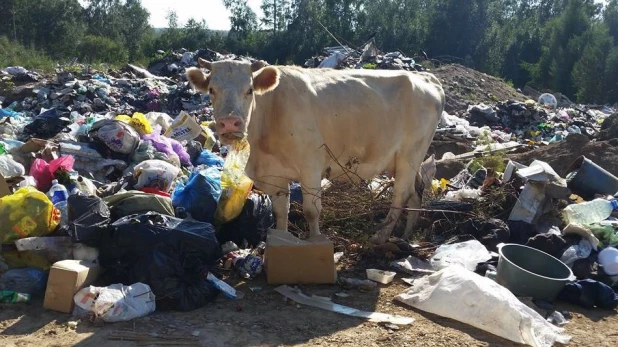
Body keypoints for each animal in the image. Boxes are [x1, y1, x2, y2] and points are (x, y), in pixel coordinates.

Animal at [184, 59, 442, 245]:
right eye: (212, 90)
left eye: (249, 90)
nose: (229, 123)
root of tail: (425, 77)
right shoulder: (274, 174)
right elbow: (281, 212)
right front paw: (281, 239)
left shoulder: (311, 166)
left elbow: (311, 211)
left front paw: (316, 240)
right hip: (409, 160)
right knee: (415, 192)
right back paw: (406, 235)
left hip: (409, 154)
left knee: (401, 195)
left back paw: (380, 237)